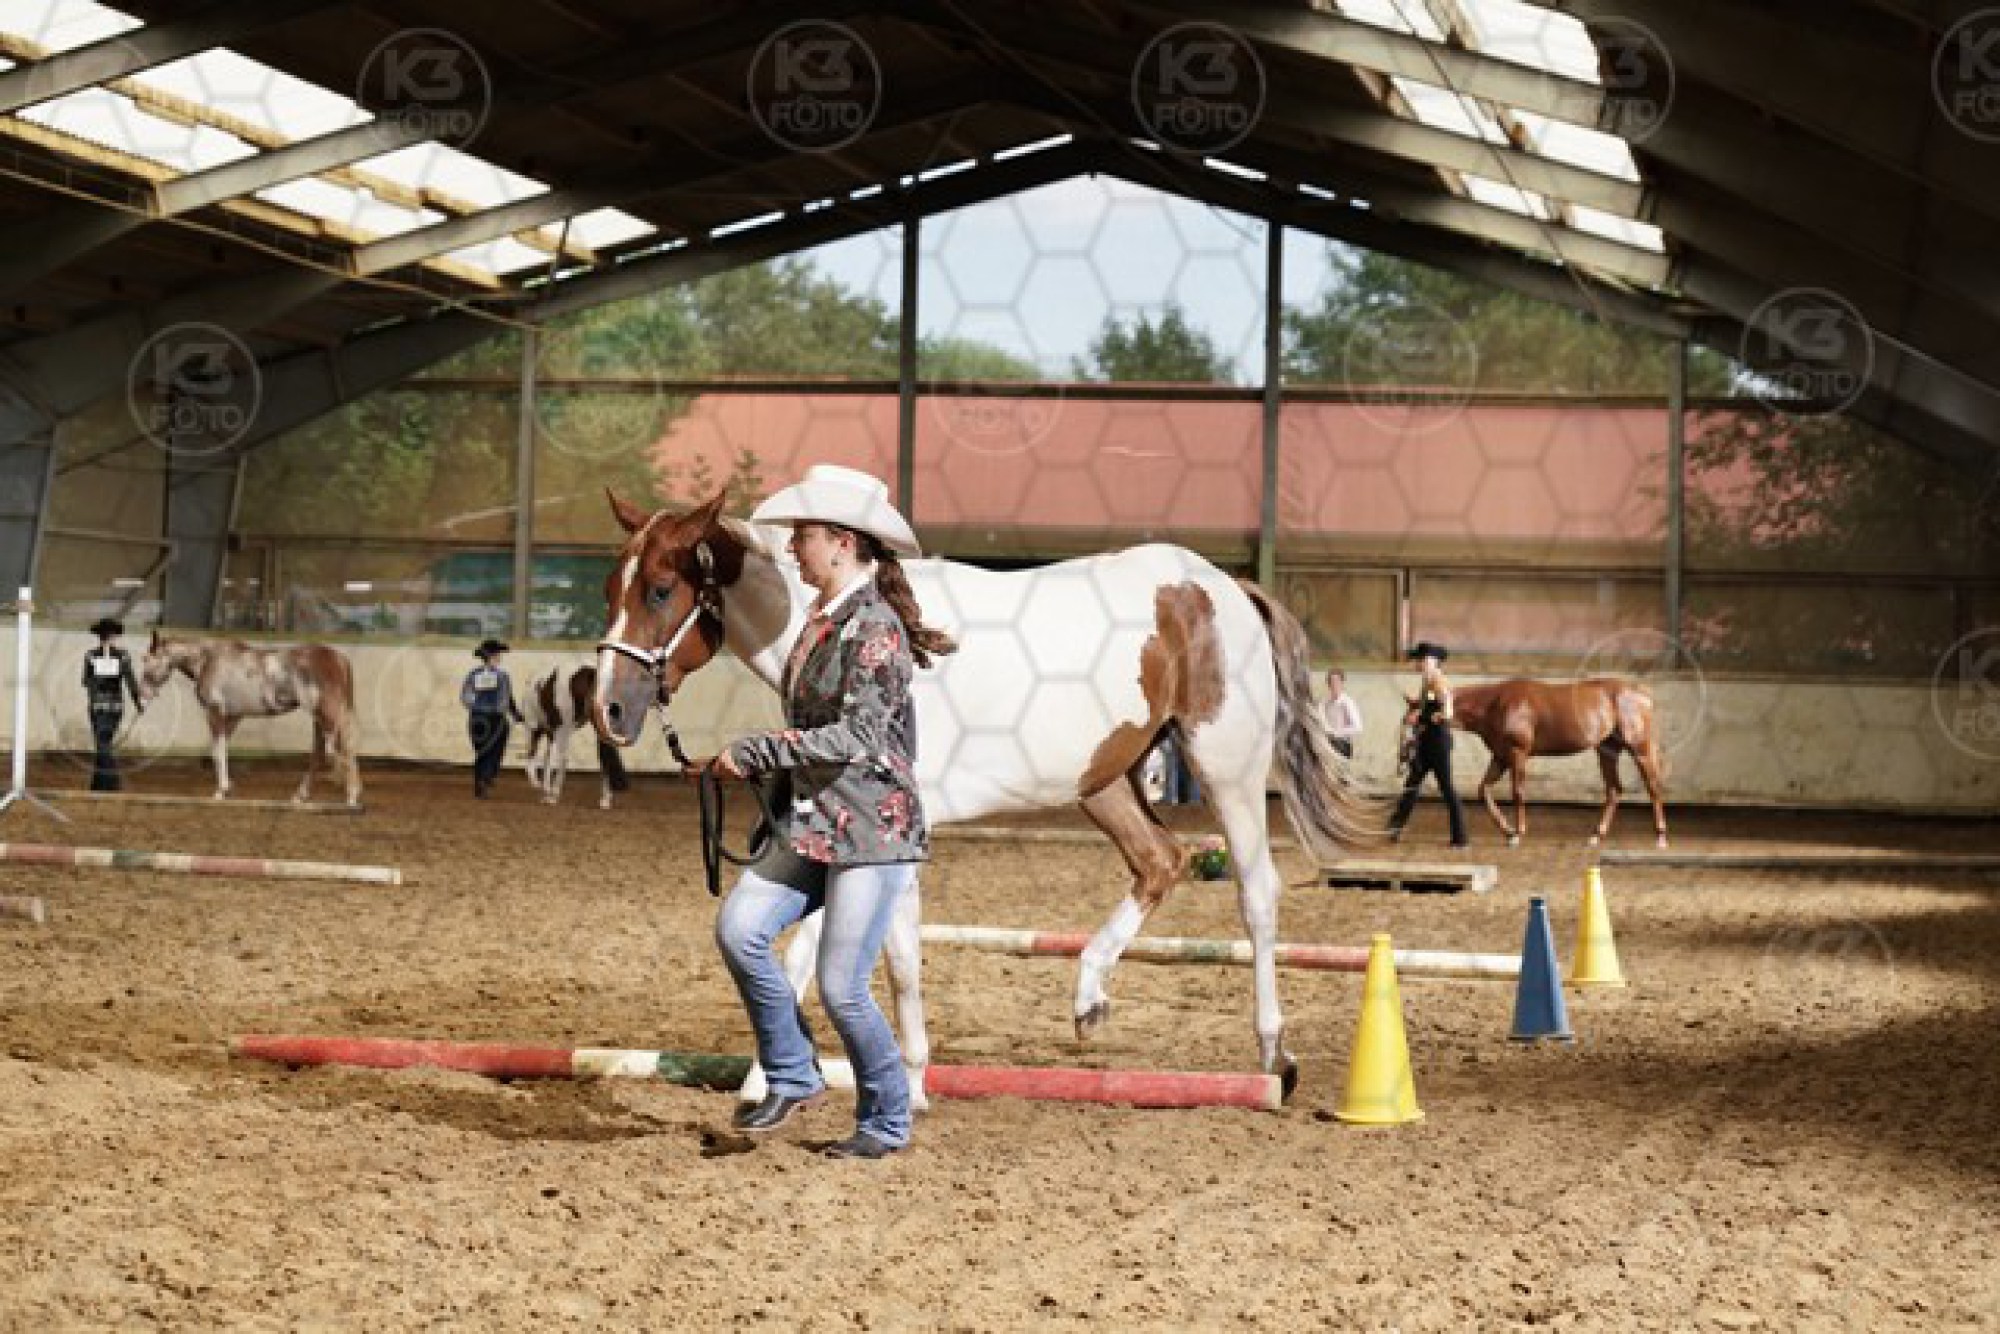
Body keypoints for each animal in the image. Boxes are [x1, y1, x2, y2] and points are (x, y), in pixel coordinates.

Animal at [135, 632, 362, 806]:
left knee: (343, 750)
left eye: (146, 660)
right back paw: (301, 796)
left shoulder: (215, 713)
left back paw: (351, 797)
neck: (208, 659)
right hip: (319, 718)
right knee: (319, 754)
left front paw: (221, 791)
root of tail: (339, 658)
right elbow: (222, 750)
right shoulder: (233, 717)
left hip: (327, 715)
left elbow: (217, 752)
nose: (142, 697)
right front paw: (228, 788)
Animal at [521, 665, 629, 808]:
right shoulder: (558, 730)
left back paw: (549, 790)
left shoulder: (557, 730)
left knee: (548, 757)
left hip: (550, 731)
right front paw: (549, 793)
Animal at [589, 490, 1378, 1091]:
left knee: (1256, 896)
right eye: (610, 589)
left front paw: (909, 1081)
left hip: (1228, 772)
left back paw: (1274, 1051)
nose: (609, 711)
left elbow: (896, 960)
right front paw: (766, 1079)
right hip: (1103, 780)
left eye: (662, 589)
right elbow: (804, 952)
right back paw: (1089, 998)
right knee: (1162, 860)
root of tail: (1225, 588)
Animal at [1450, 677, 1668, 848]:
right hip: (1607, 751)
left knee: (1653, 787)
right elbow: (1484, 789)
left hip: (1640, 749)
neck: (1495, 703)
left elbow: (1517, 792)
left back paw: (1660, 837)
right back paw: (1596, 836)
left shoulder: (1517, 753)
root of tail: (1644, 696)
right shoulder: (1500, 757)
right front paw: (1508, 832)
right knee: (1614, 790)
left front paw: (1518, 833)